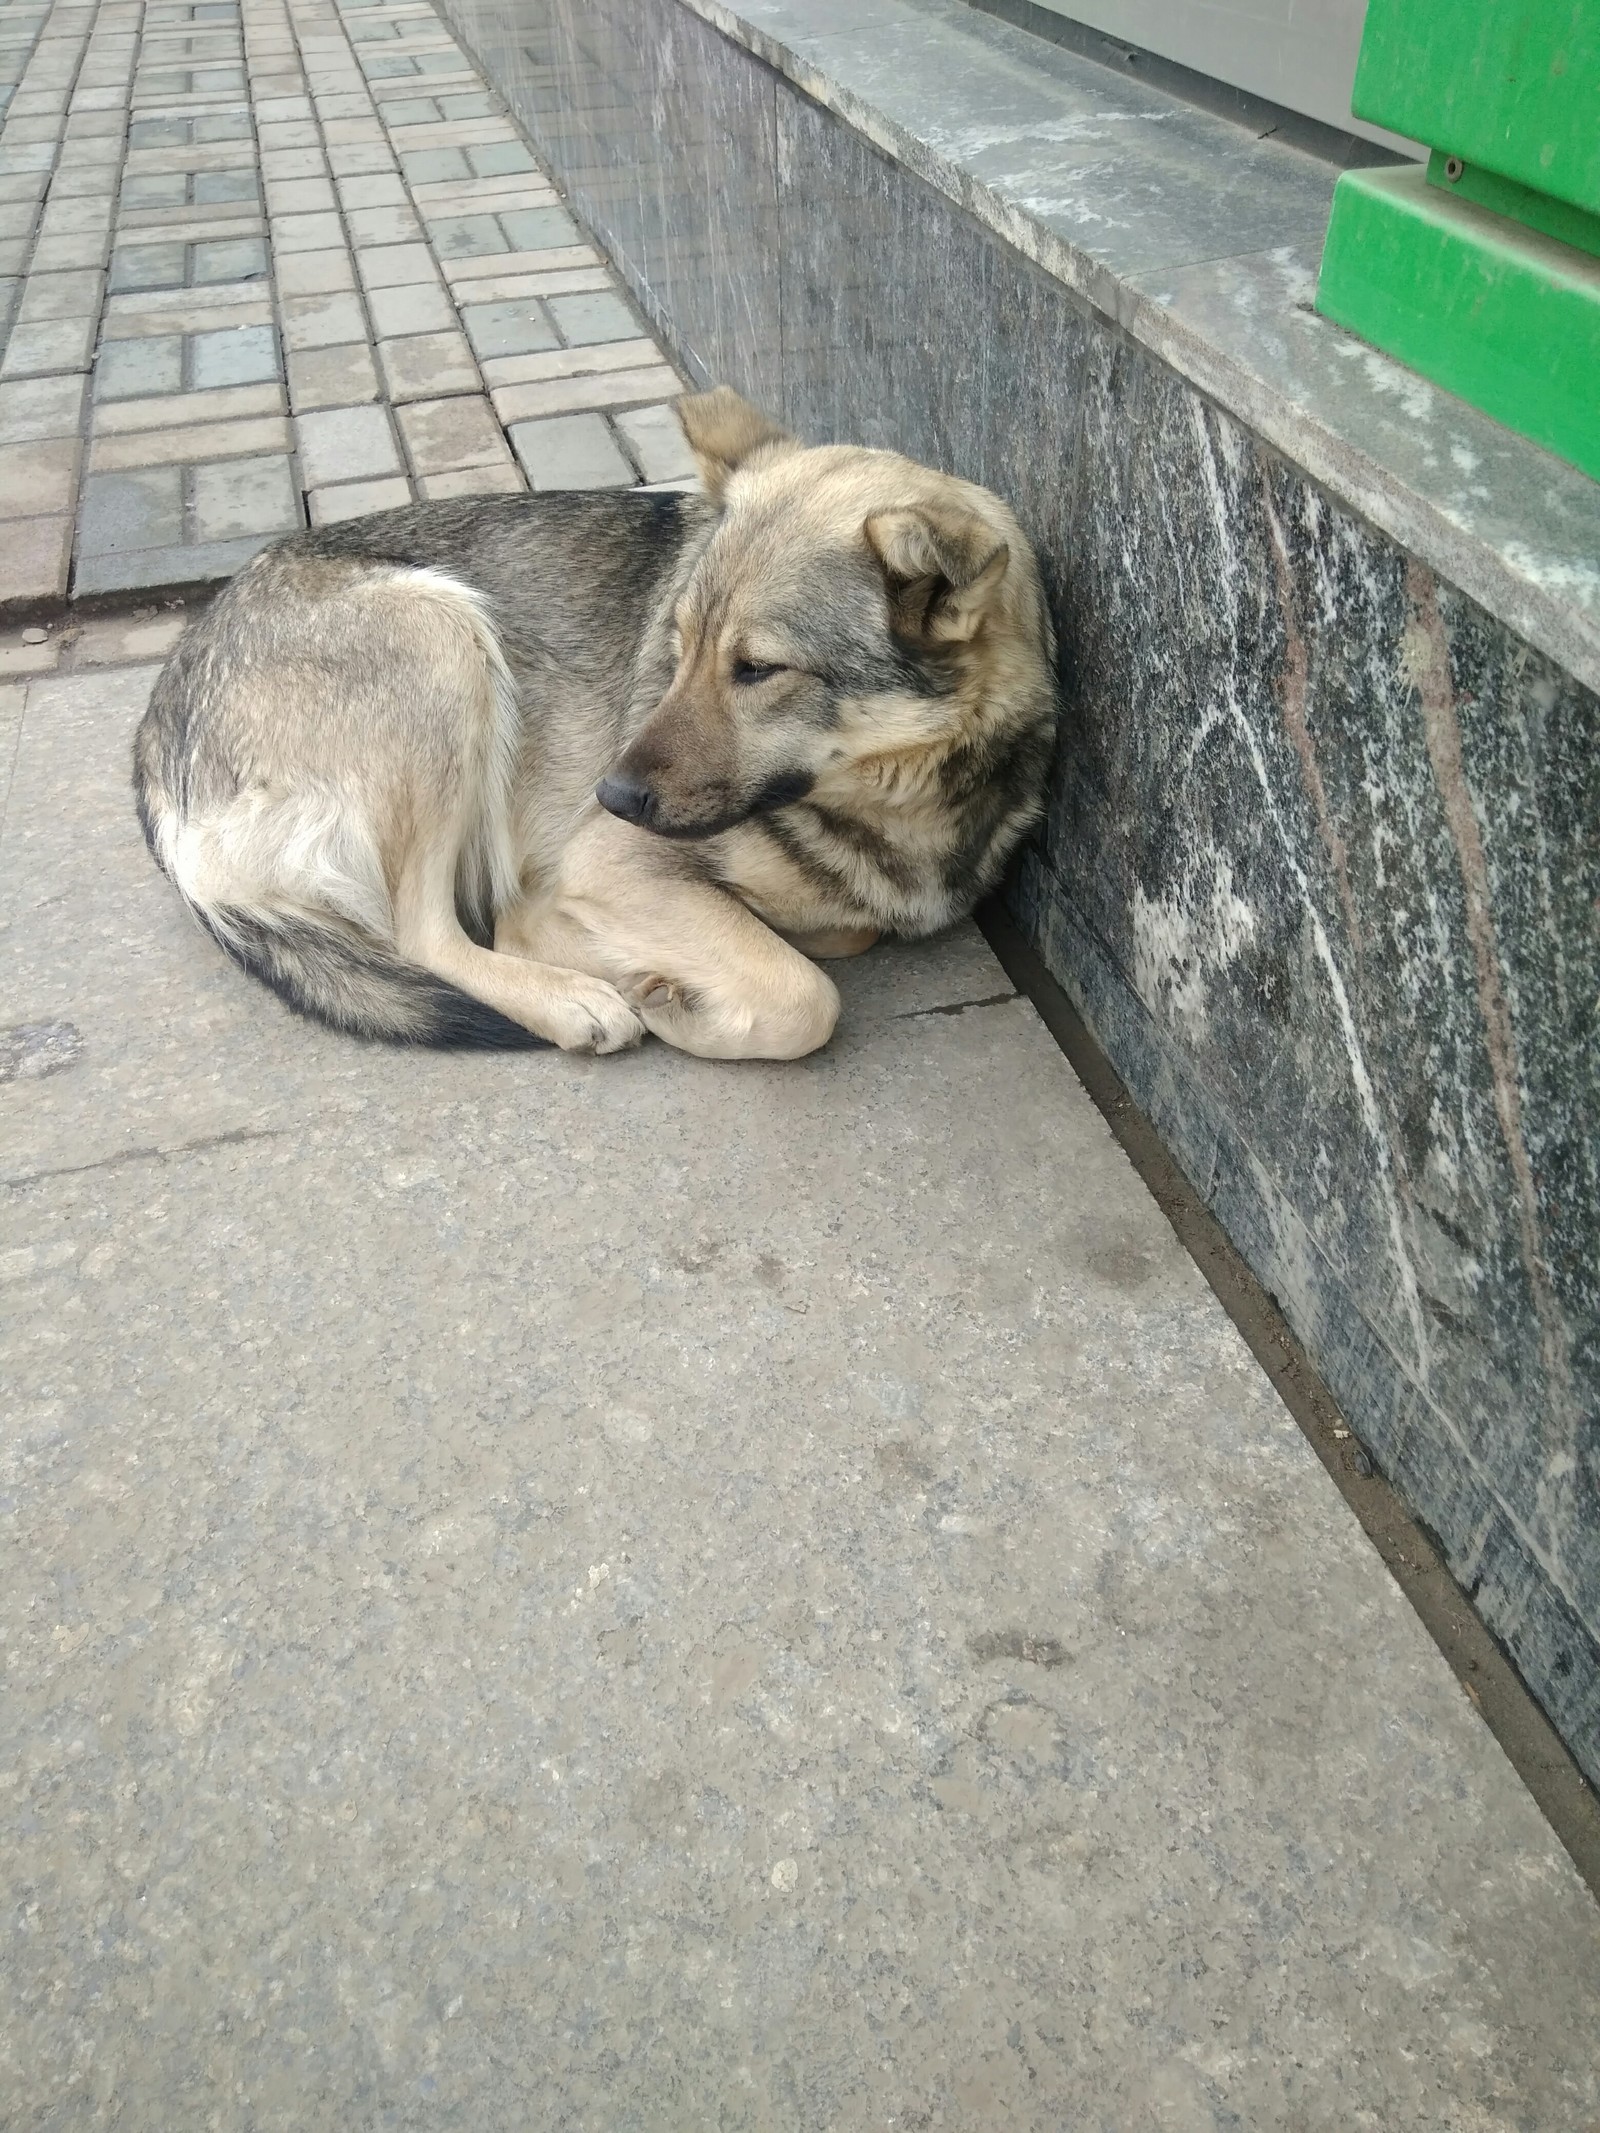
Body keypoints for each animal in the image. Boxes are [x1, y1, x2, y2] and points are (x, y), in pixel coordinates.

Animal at [134, 388, 1066, 1062]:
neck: (892, 802)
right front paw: (654, 991)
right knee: (423, 933)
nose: (609, 795)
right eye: (680, 645)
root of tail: (158, 726)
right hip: (443, 637)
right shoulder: (608, 860)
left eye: (757, 669)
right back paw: (569, 997)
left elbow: (840, 930)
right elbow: (805, 997)